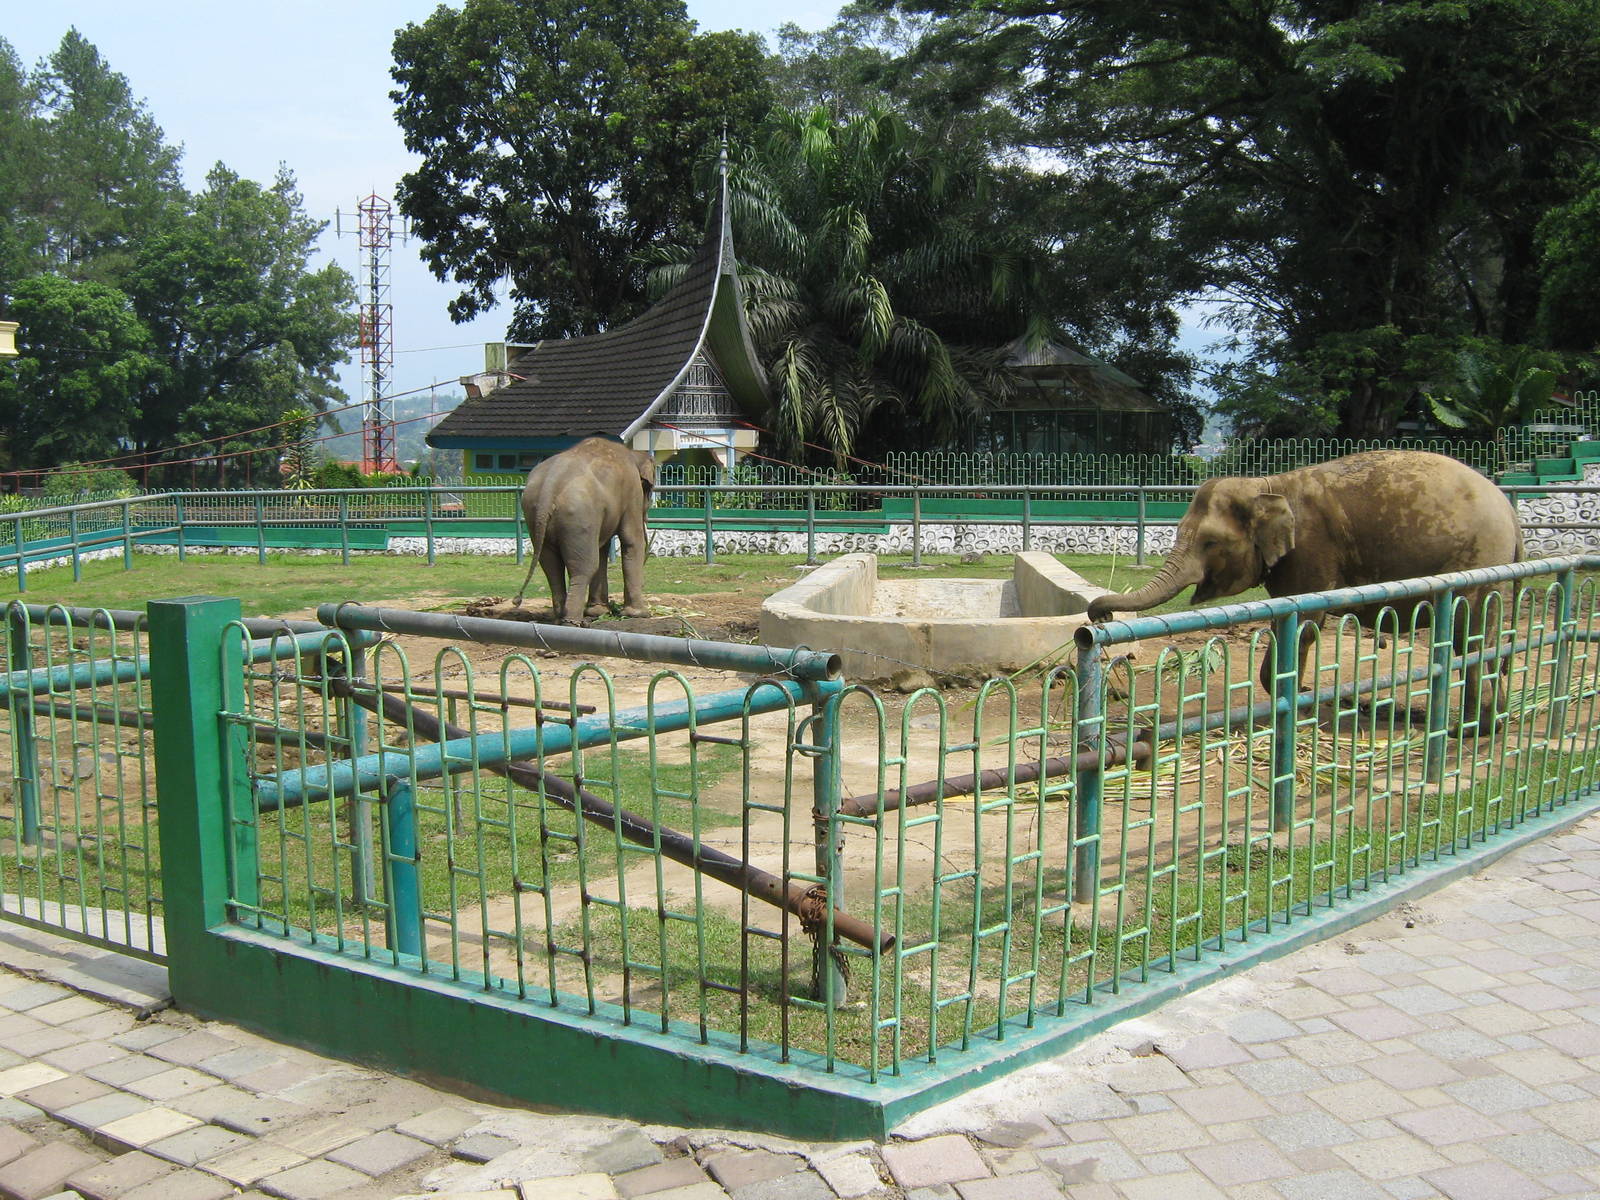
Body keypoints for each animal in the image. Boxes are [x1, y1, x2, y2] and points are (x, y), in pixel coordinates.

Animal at [511, 437, 656, 625]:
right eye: (650, 490)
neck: (632, 453)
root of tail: (550, 486)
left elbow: (603, 548)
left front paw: (598, 612)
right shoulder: (632, 492)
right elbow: (631, 540)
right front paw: (639, 614)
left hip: (535, 515)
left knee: (551, 566)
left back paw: (560, 619)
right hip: (579, 515)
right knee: (585, 567)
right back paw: (572, 622)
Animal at [1087, 450, 1524, 724]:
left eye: (1210, 543)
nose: (1101, 615)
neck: (1267, 485)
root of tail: (1510, 511)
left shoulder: (1312, 548)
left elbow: (1304, 619)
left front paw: (1301, 702)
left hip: (1477, 557)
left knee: (1471, 633)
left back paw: (1471, 729)